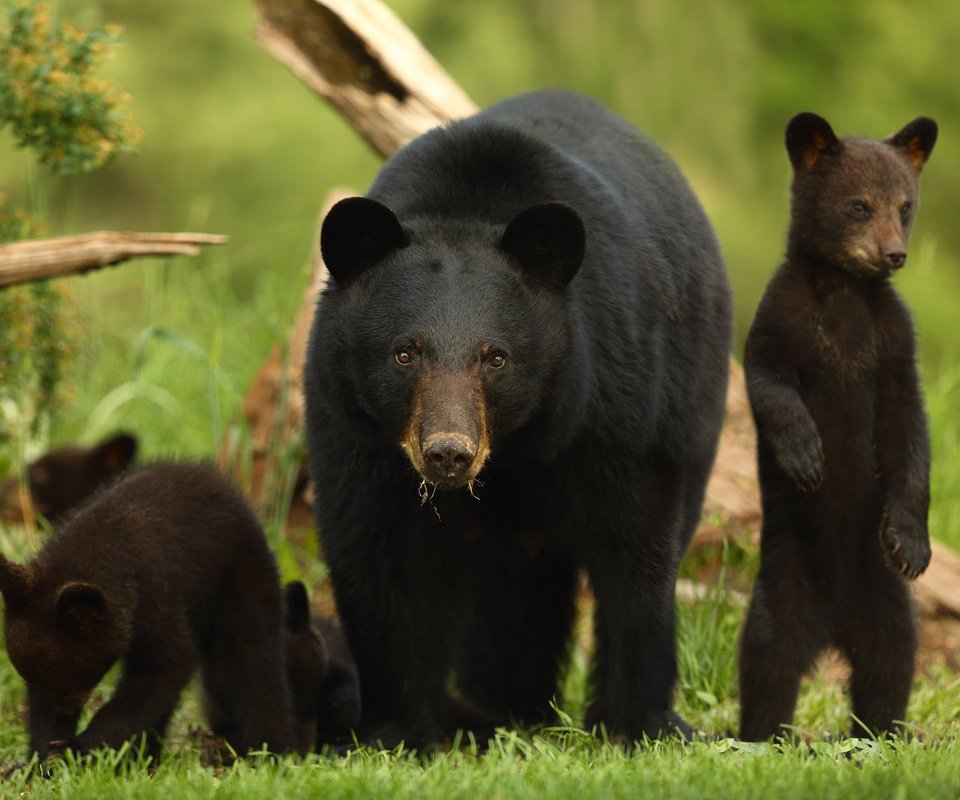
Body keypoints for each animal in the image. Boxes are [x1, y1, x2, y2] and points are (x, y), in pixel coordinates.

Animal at [0, 460, 296, 760]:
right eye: (30, 680)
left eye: (72, 684)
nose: (64, 711)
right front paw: (47, 753)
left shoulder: (157, 593)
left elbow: (165, 667)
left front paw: (82, 747)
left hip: (241, 575)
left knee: (254, 654)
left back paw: (271, 748)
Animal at [304, 90, 732, 748]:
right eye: (405, 352)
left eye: (495, 356)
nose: (448, 452)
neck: (514, 447)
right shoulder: (354, 429)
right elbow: (378, 553)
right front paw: (394, 730)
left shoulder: (614, 400)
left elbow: (637, 543)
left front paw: (637, 725)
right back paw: (502, 708)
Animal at [740, 112, 932, 744]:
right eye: (857, 205)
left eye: (905, 205)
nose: (893, 254)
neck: (845, 291)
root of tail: (833, 628)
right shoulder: (780, 321)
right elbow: (769, 383)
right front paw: (806, 459)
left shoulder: (893, 345)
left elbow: (909, 433)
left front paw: (912, 543)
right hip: (782, 586)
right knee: (768, 662)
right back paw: (762, 737)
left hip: (889, 603)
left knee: (890, 666)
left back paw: (878, 737)